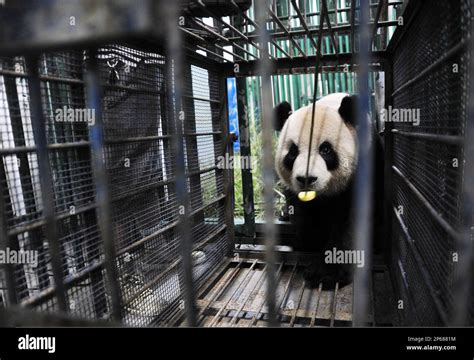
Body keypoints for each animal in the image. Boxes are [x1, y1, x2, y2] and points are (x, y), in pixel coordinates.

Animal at [274, 93, 382, 290]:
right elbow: (302, 213)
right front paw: (308, 241)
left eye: (325, 149)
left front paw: (326, 272)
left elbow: (352, 221)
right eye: (292, 152)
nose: (306, 179)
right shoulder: (294, 190)